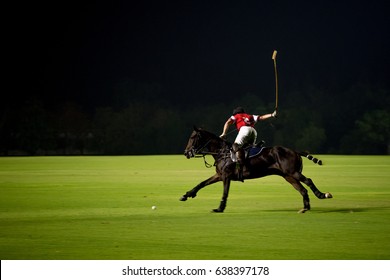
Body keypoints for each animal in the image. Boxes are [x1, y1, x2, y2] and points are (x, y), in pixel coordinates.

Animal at [180, 126, 332, 213]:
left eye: (192, 137)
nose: (186, 153)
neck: (222, 152)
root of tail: (295, 151)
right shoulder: (219, 175)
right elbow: (201, 183)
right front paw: (186, 195)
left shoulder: (226, 176)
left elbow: (225, 192)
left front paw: (219, 208)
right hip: (288, 176)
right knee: (302, 189)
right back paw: (305, 207)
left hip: (293, 172)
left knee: (308, 181)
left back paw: (322, 195)